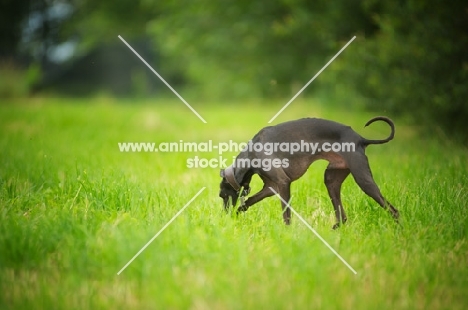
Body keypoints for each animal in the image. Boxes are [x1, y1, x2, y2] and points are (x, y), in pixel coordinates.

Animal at [219, 116, 398, 228]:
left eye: (222, 195)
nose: (224, 216)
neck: (251, 154)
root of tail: (360, 139)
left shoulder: (283, 183)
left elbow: (286, 214)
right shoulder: (271, 187)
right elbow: (248, 201)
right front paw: (238, 212)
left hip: (363, 179)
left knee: (394, 211)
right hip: (331, 179)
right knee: (342, 217)